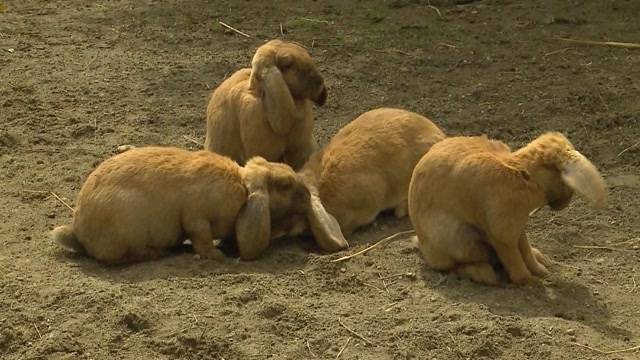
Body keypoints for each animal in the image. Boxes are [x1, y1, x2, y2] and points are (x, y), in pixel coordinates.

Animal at [52, 147, 348, 264]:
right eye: (284, 184)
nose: (306, 194)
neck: (243, 188)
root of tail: (78, 232)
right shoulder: (197, 217)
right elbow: (201, 238)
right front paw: (218, 257)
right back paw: (159, 253)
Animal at [408, 132, 608, 286]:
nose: (565, 203)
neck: (526, 176)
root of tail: (422, 244)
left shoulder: (518, 226)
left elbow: (525, 250)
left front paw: (542, 272)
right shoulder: (502, 233)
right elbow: (513, 258)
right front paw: (530, 281)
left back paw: (541, 257)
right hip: (462, 242)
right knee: (454, 265)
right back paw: (485, 275)